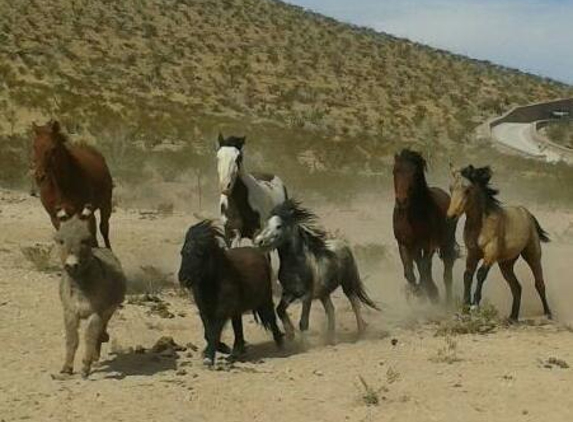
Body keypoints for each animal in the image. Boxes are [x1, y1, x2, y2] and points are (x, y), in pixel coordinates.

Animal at [31, 119, 114, 247]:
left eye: (53, 148)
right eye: (34, 146)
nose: (39, 176)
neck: (62, 186)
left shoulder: (83, 213)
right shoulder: (56, 217)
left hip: (105, 205)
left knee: (103, 229)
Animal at [54, 206, 125, 378]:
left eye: (85, 240)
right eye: (60, 241)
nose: (71, 265)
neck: (81, 288)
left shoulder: (96, 313)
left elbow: (90, 338)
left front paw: (86, 367)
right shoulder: (70, 312)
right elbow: (72, 340)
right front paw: (67, 368)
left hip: (108, 311)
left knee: (99, 332)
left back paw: (95, 354)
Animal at [178, 219, 282, 364]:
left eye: (199, 253)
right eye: (182, 252)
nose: (184, 279)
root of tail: (259, 254)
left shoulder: (221, 312)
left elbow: (214, 333)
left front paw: (209, 358)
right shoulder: (205, 311)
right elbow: (208, 333)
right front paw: (221, 349)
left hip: (265, 300)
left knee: (271, 319)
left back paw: (280, 344)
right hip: (237, 310)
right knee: (238, 329)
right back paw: (237, 352)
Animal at [392, 148, 458, 304]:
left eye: (415, 173)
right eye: (395, 171)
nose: (401, 201)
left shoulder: (430, 245)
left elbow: (424, 268)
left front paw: (429, 291)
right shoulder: (403, 243)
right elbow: (409, 271)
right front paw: (419, 291)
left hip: (446, 243)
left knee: (446, 273)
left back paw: (446, 301)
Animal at [446, 165, 548, 320]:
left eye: (467, 190)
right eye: (451, 188)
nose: (451, 216)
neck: (481, 224)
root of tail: (526, 213)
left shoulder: (490, 253)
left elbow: (480, 274)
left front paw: (475, 305)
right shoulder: (472, 254)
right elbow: (467, 275)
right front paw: (465, 307)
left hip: (532, 255)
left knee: (539, 283)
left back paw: (548, 314)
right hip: (506, 264)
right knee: (517, 287)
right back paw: (512, 318)